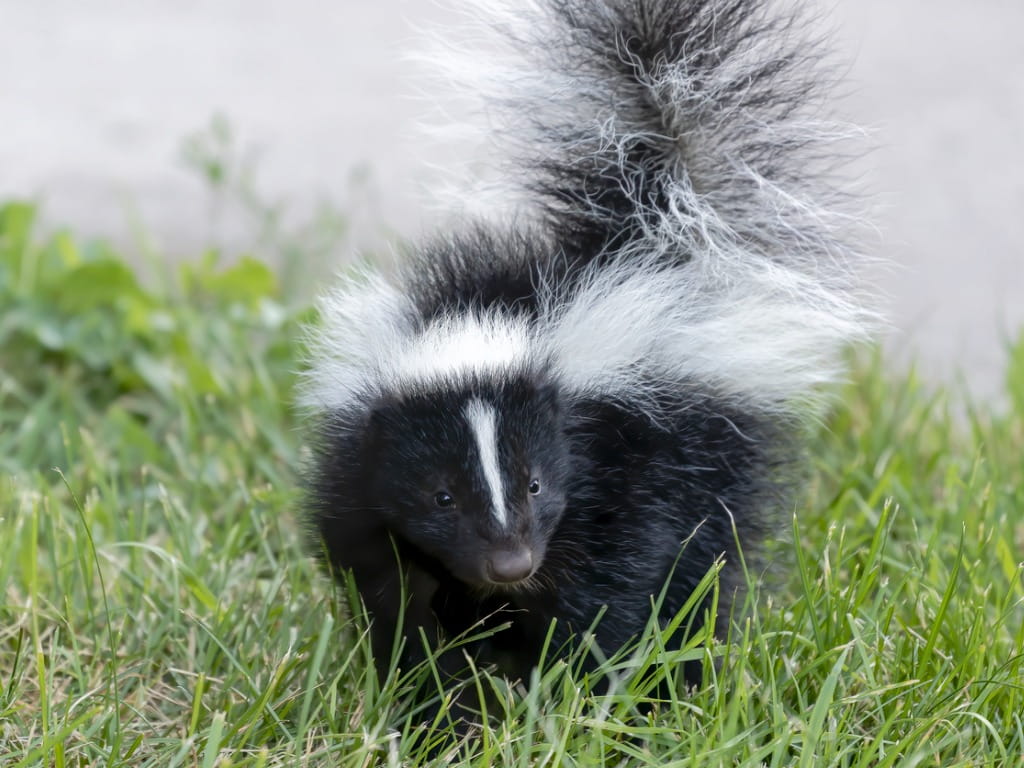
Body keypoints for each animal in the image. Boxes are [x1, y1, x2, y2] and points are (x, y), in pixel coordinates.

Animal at [296, 0, 872, 696]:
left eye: (538, 483)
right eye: (441, 496)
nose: (510, 562)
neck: (493, 319)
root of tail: (655, 234)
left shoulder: (626, 468)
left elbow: (612, 586)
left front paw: (576, 687)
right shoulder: (358, 473)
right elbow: (395, 591)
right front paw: (432, 692)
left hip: (715, 456)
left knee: (705, 565)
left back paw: (685, 669)